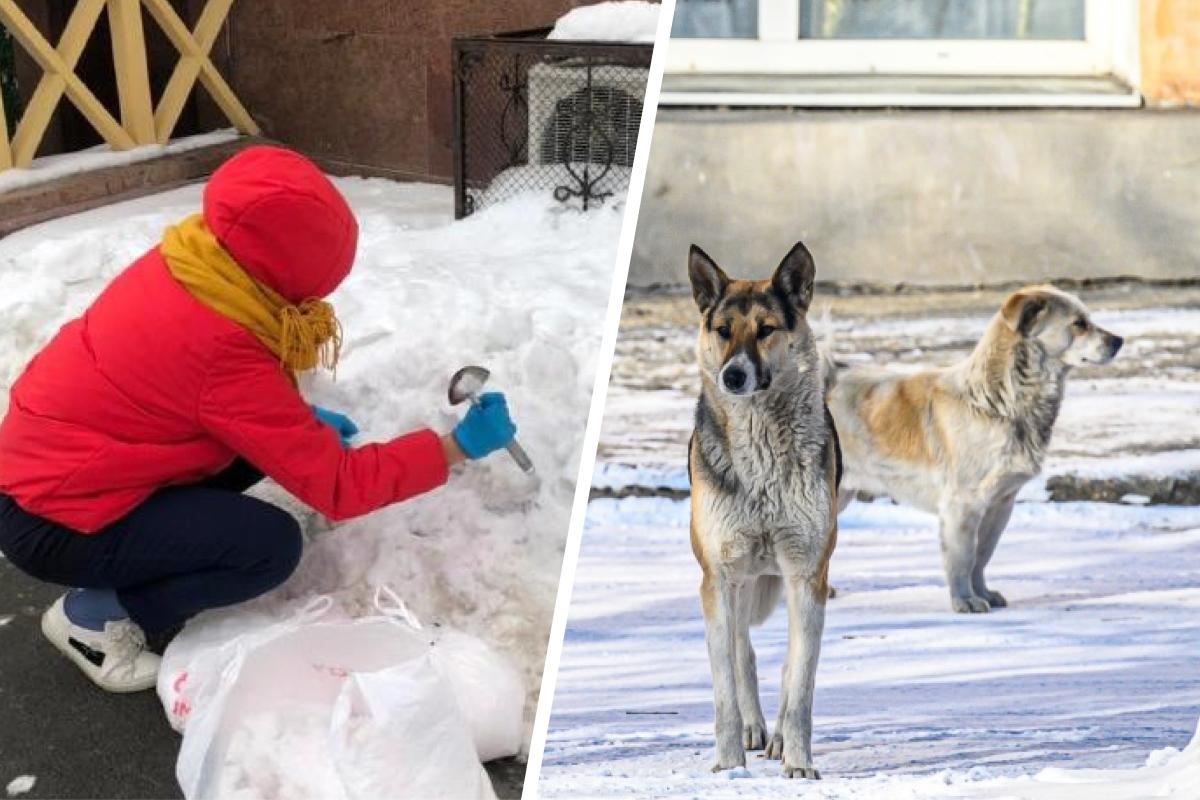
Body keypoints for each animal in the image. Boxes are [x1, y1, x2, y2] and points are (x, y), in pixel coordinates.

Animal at [686, 241, 844, 777]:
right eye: (722, 330)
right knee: (742, 654)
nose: (733, 376)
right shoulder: (719, 576)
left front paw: (798, 763)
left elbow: (801, 685)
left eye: (767, 329)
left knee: (789, 662)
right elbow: (724, 688)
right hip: (734, 582)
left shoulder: (806, 574)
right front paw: (729, 764)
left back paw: (774, 737)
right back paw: (753, 730)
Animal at [825, 286, 1123, 614]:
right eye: (1079, 324)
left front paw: (984, 593)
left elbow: (982, 556)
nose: (1119, 341)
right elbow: (963, 557)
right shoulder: (963, 504)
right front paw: (964, 600)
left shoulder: (1001, 503)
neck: (996, 401)